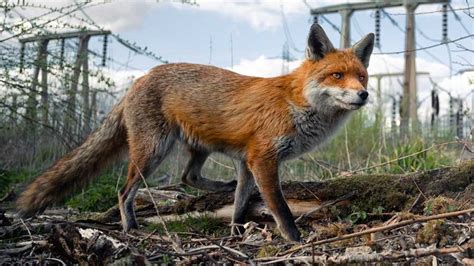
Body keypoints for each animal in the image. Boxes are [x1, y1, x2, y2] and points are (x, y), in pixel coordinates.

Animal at [16, 23, 374, 242]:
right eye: (337, 75)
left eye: (362, 77)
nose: (364, 95)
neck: (296, 103)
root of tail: (140, 79)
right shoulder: (263, 159)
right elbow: (281, 209)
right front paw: (295, 239)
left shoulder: (247, 162)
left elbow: (240, 202)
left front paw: (235, 231)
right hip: (153, 152)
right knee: (125, 192)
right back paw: (131, 227)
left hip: (198, 147)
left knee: (188, 177)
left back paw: (217, 186)